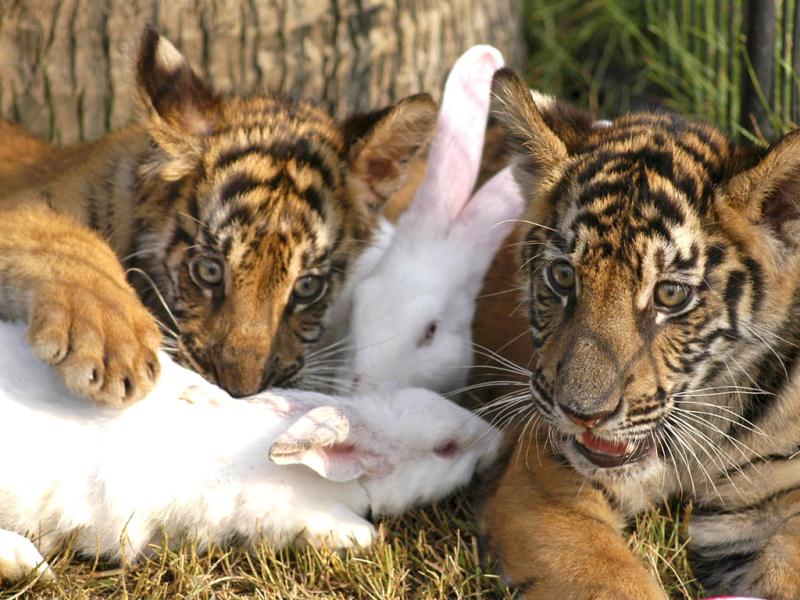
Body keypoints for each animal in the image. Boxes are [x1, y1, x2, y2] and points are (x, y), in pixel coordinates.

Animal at [0, 320, 499, 582]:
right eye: (446, 448)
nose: (496, 440)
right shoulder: (282, 511)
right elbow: (357, 534)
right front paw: (359, 537)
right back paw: (31, 566)